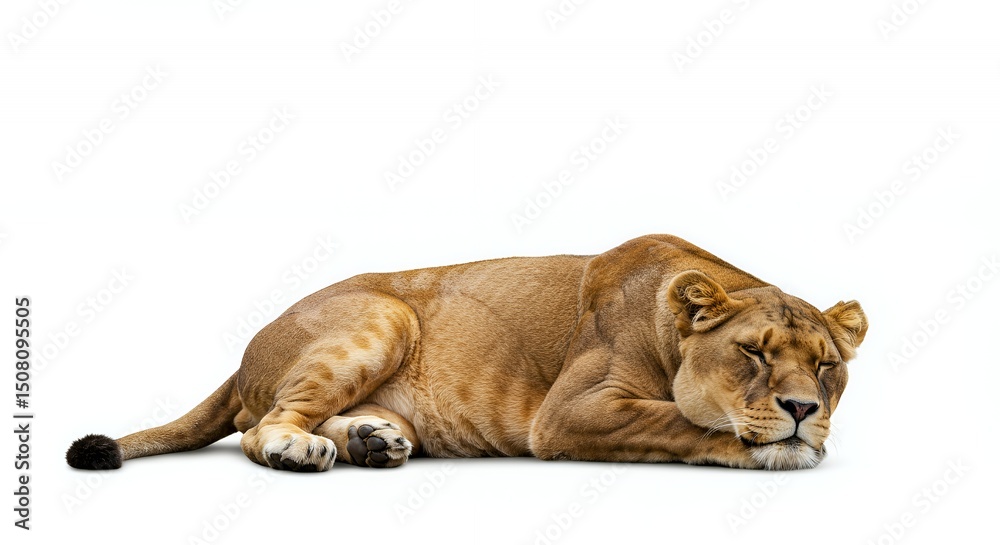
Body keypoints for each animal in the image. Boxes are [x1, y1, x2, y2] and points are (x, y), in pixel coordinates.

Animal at [66, 234, 867, 472]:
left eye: (826, 365)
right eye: (754, 353)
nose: (803, 407)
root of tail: (242, 358)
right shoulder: (569, 411)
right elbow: (682, 421)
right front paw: (776, 445)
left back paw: (372, 440)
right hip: (384, 314)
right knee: (263, 426)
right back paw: (304, 449)